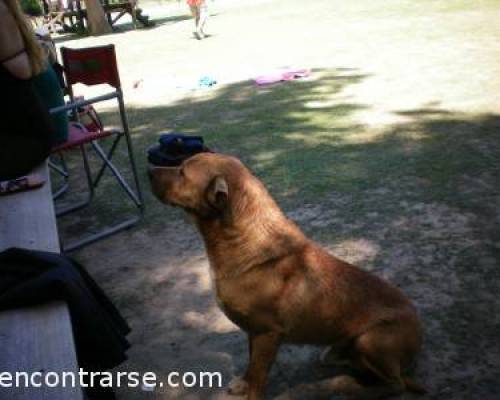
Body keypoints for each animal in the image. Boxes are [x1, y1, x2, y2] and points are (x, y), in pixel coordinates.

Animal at [147, 153, 422, 400]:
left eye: (182, 172)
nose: (148, 170)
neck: (241, 241)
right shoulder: (253, 332)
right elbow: (250, 368)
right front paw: (243, 384)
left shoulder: (267, 335)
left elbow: (258, 378)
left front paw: (250, 392)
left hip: (370, 339)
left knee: (395, 384)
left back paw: (352, 389)